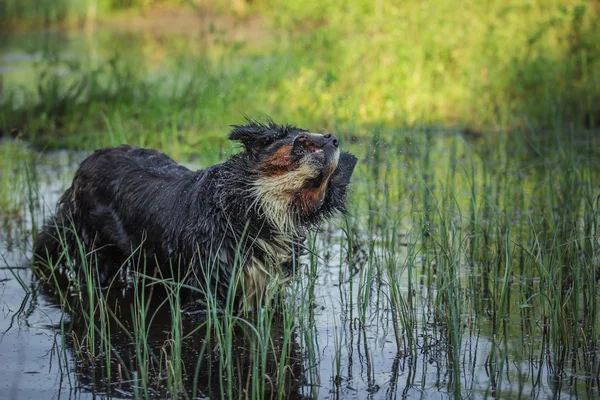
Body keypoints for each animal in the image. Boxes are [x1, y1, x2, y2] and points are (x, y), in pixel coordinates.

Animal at [34, 120, 356, 308]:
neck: (257, 208)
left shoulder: (266, 290)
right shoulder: (207, 290)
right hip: (94, 251)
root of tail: (85, 163)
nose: (334, 138)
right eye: (303, 140)